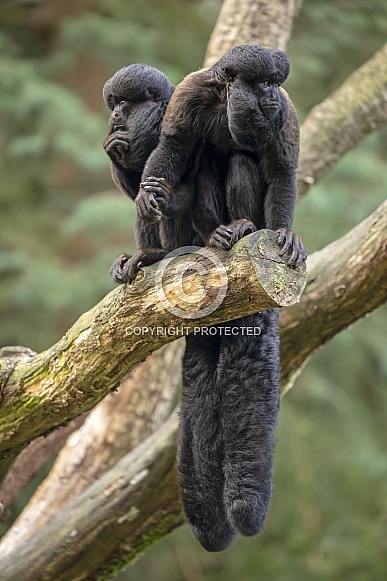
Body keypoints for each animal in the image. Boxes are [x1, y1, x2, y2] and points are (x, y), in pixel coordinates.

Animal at [135, 44, 308, 548]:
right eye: (262, 82)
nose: (269, 94)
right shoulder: (193, 91)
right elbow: (174, 147)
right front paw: (149, 195)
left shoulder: (286, 112)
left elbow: (281, 170)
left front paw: (285, 235)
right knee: (209, 160)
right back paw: (218, 234)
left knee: (241, 162)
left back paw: (247, 229)